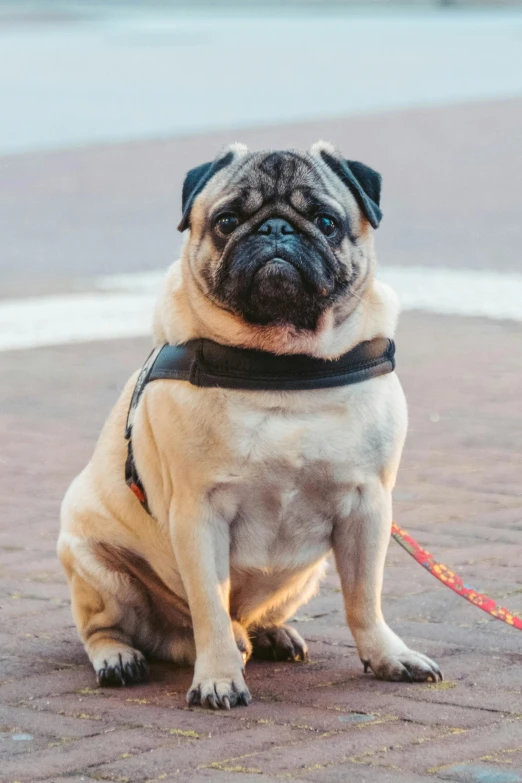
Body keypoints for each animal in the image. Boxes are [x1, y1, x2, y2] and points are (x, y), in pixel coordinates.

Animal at [58, 141, 438, 712]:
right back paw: (121, 658)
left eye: (326, 222)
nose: (275, 229)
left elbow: (364, 599)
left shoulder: (369, 507)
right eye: (227, 221)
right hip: (94, 562)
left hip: (307, 574)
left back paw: (271, 634)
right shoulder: (198, 516)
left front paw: (387, 655)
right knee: (114, 627)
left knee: (251, 617)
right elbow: (209, 609)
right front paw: (217, 678)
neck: (280, 365)